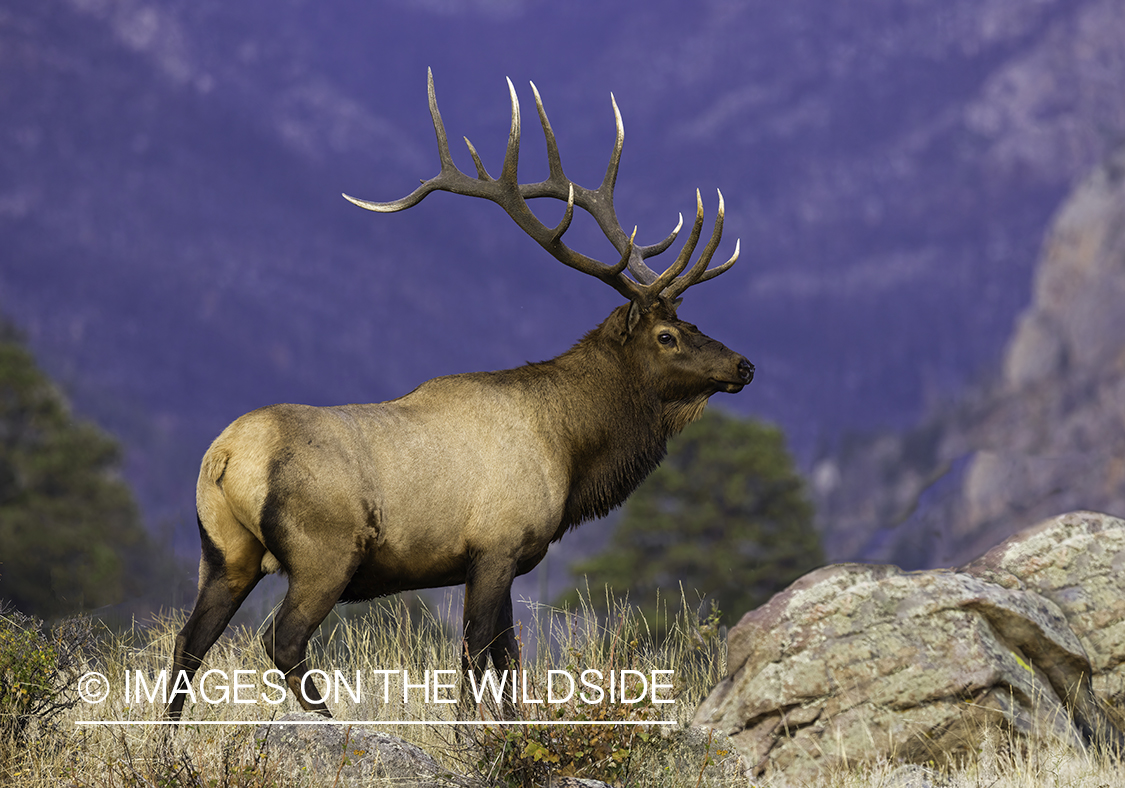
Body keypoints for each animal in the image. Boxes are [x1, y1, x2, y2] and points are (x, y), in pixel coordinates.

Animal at [166, 70, 751, 715]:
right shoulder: (495, 546)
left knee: (189, 643)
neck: (570, 449)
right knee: (283, 640)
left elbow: (509, 661)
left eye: (692, 323)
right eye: (667, 336)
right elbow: (475, 662)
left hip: (223, 553)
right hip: (325, 551)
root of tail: (224, 456)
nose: (744, 365)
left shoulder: (504, 560)